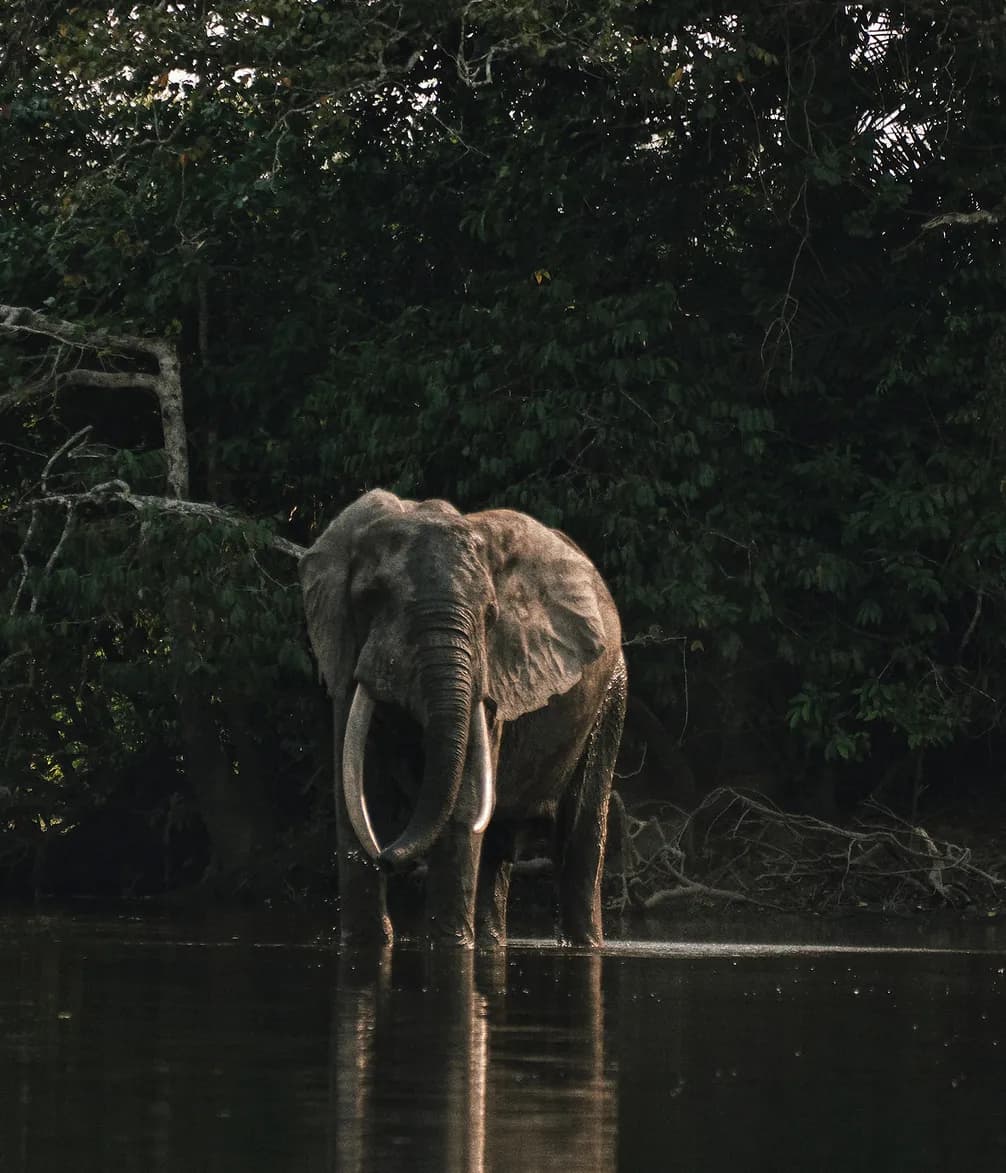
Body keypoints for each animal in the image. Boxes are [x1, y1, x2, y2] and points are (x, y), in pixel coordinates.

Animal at [299, 489, 627, 947]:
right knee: (497, 850)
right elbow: (358, 797)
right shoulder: (345, 657)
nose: (389, 859)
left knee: (579, 840)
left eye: (490, 614)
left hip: (611, 696)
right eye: (371, 598)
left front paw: (448, 946)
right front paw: (370, 943)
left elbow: (462, 805)